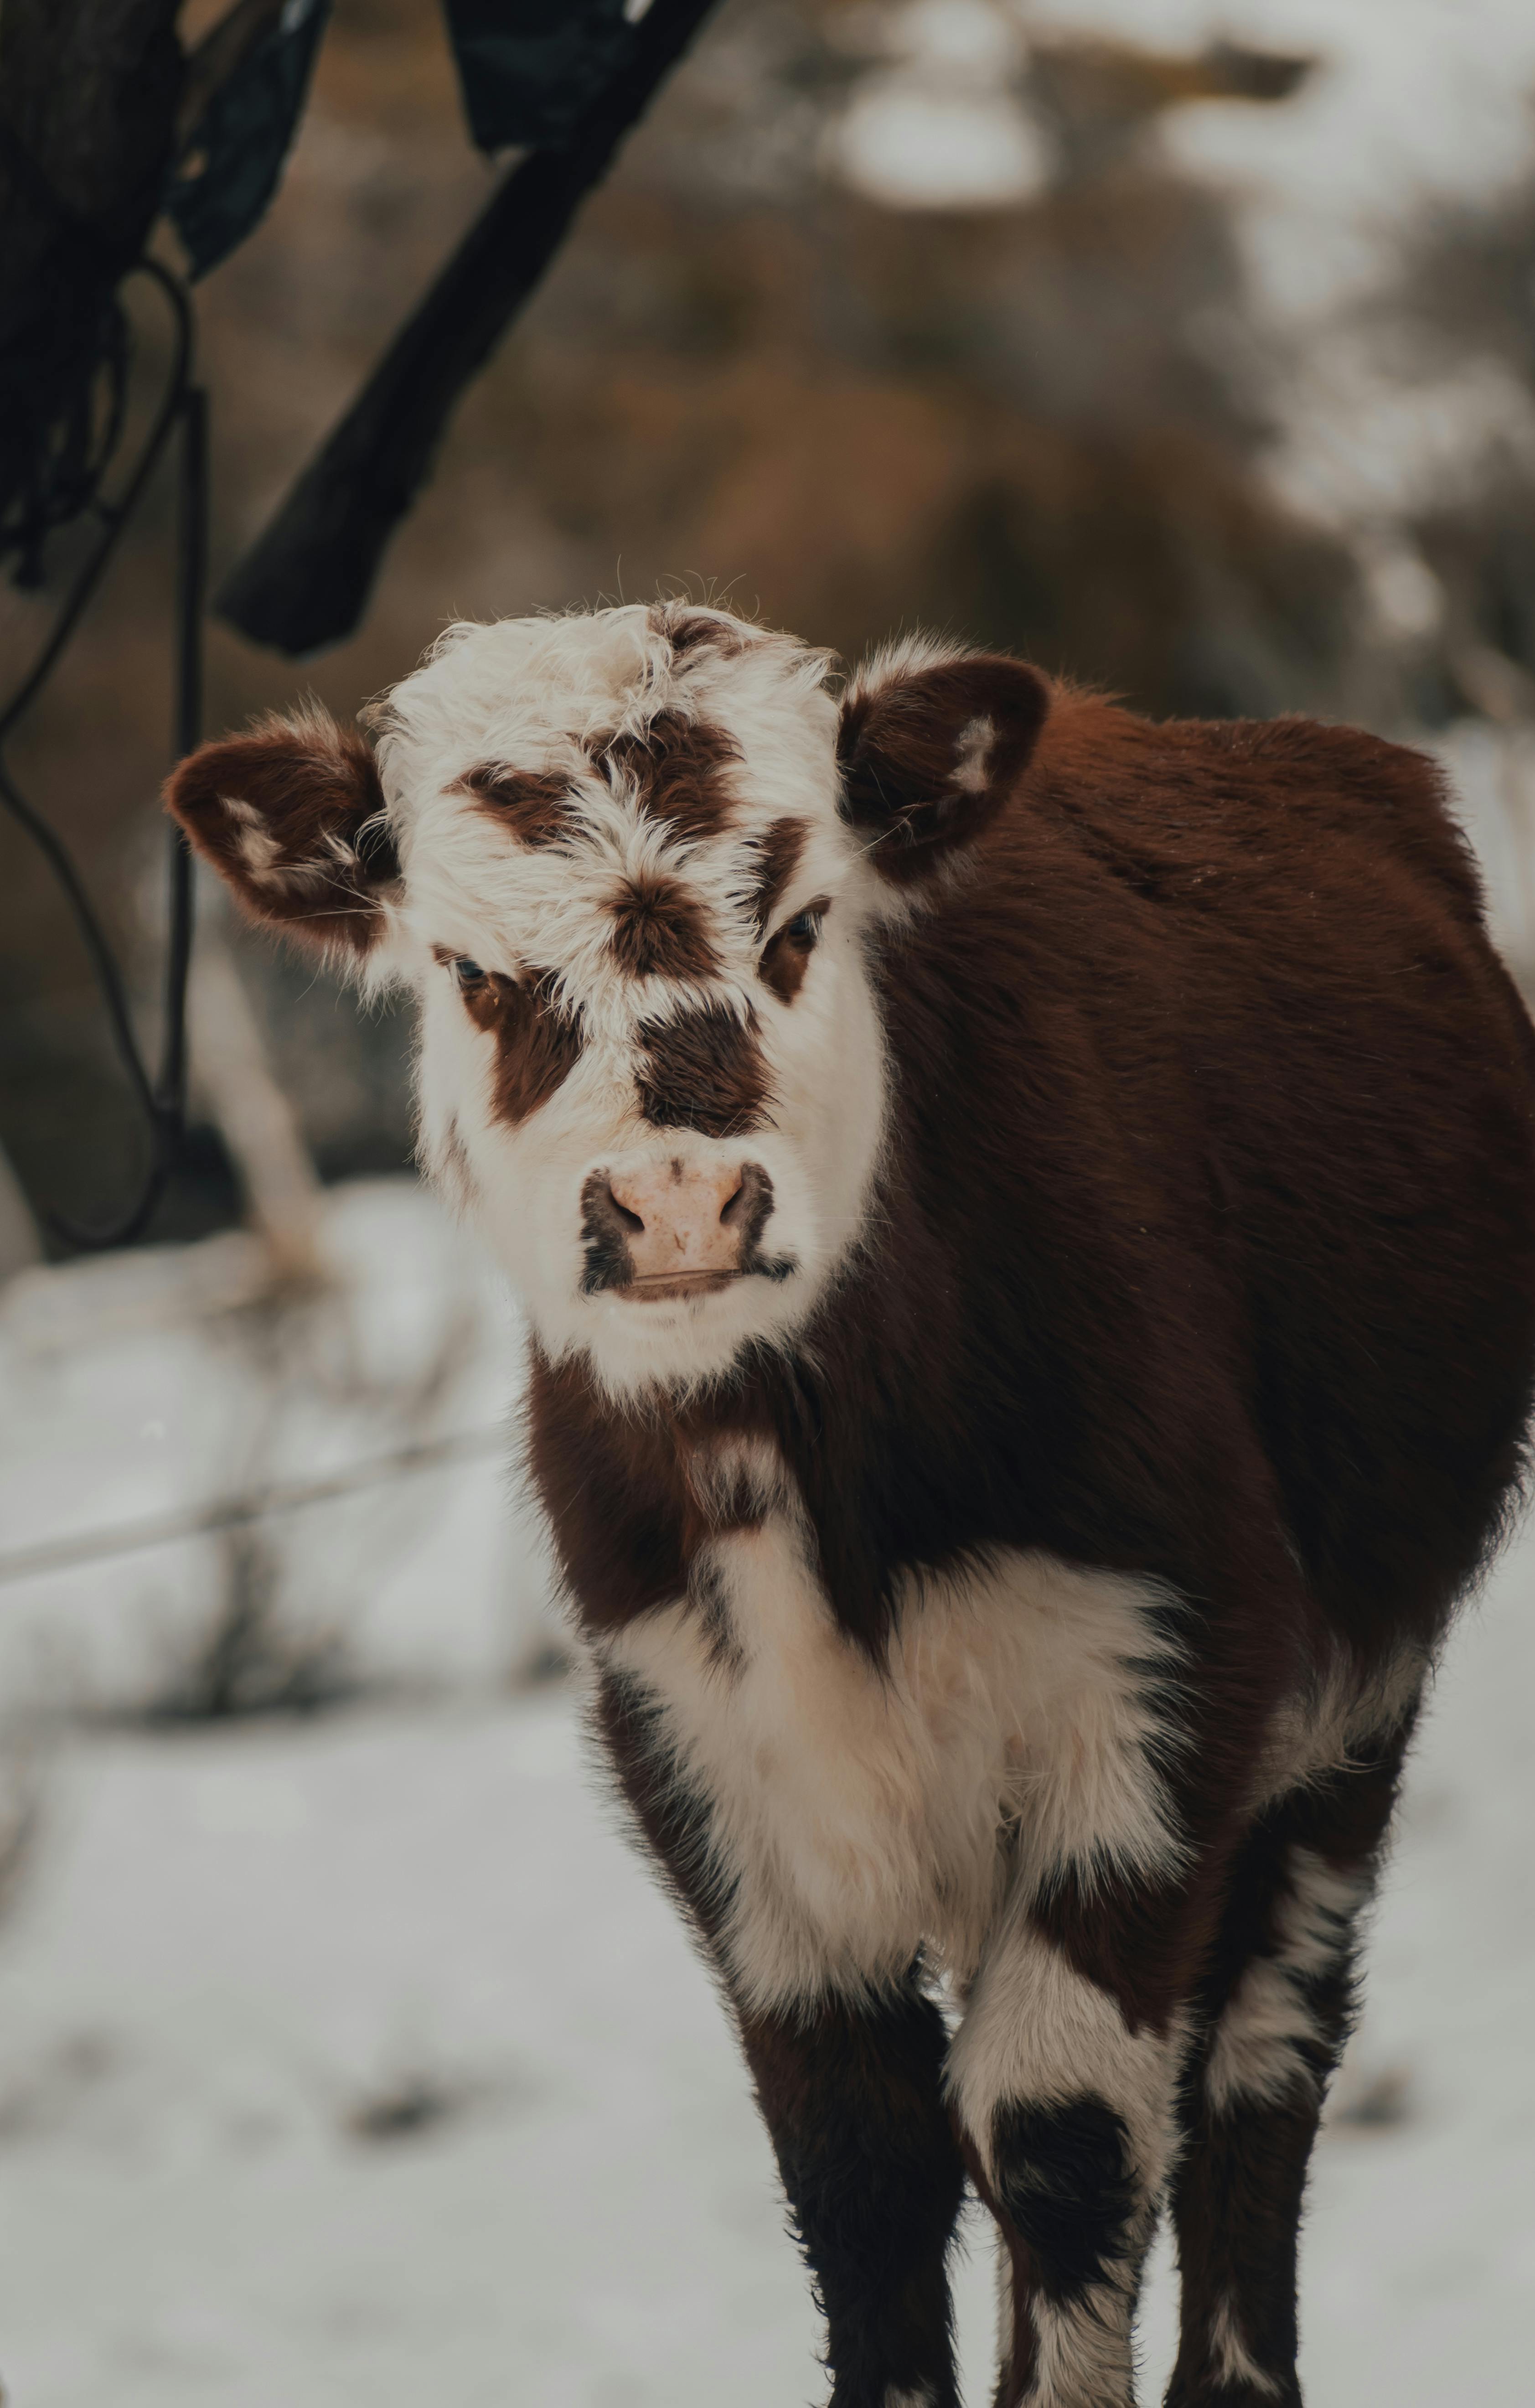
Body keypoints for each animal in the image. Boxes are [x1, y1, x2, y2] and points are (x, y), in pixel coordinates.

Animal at [168, 602, 1535, 2408]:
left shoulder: (1162, 1684)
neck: (798, 1458)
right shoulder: (713, 1758)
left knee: (1262, 2060)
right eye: (471, 968)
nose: (680, 1200)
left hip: (1348, 1724)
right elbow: (862, 2165)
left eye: (805, 919)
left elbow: (1061, 2129)